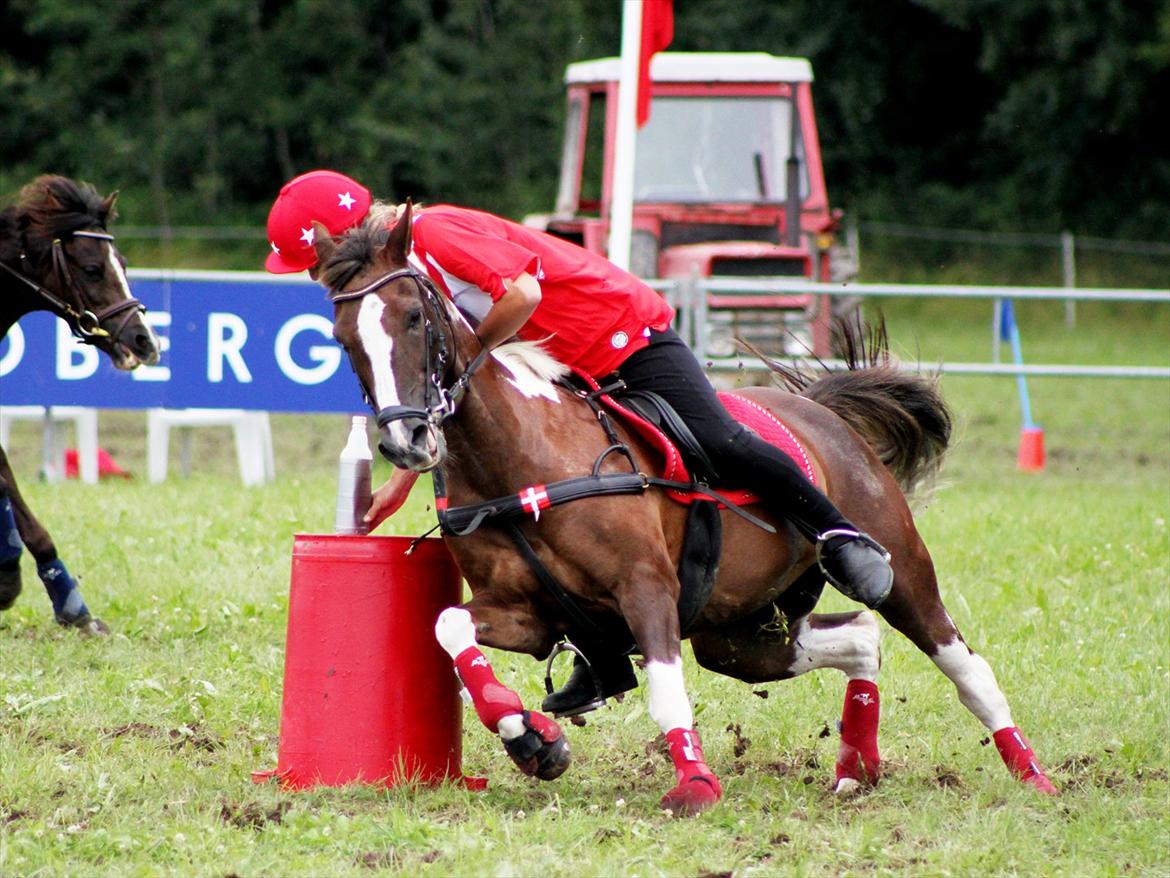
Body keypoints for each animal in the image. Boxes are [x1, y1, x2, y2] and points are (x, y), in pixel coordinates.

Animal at [315, 208, 1057, 819]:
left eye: (414, 317)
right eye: (344, 339)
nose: (405, 441)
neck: (517, 458)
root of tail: (824, 410)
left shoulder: (646, 587)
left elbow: (665, 689)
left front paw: (694, 783)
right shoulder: (527, 613)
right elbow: (451, 630)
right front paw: (530, 737)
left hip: (901, 571)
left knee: (961, 663)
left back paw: (1034, 776)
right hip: (741, 635)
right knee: (858, 640)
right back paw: (857, 769)